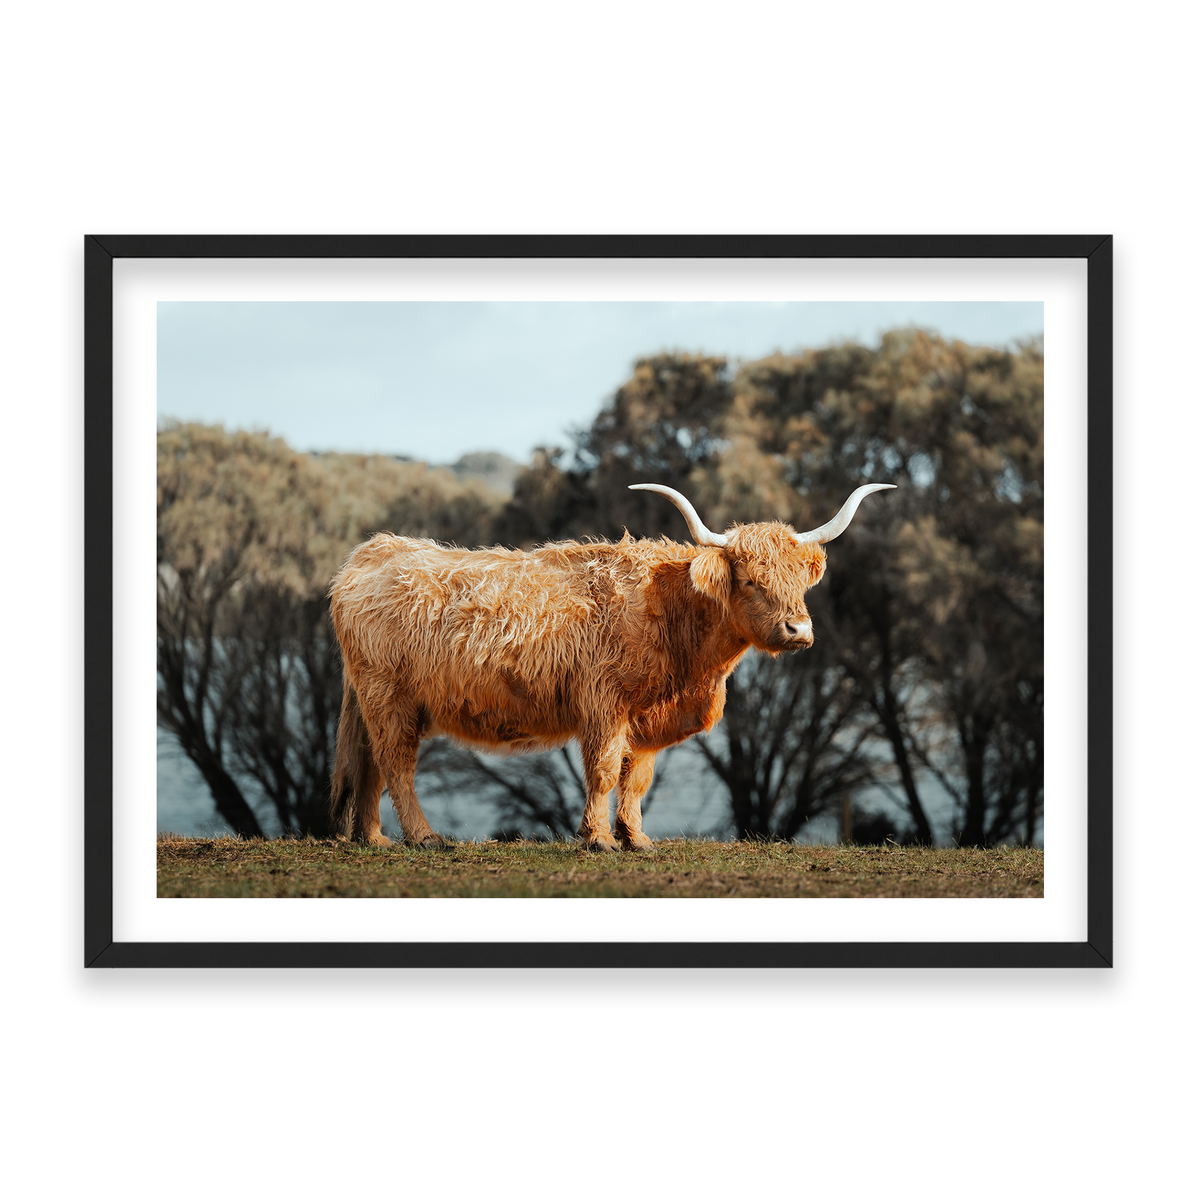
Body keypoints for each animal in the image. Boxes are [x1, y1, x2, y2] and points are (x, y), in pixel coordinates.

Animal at [329, 482, 894, 851]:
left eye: (799, 580)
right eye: (752, 581)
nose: (798, 630)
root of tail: (373, 551)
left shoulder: (645, 716)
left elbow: (636, 777)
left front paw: (636, 838)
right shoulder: (604, 703)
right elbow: (602, 771)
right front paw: (598, 839)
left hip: (376, 701)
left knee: (371, 764)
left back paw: (374, 839)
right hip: (390, 697)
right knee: (396, 763)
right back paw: (424, 837)